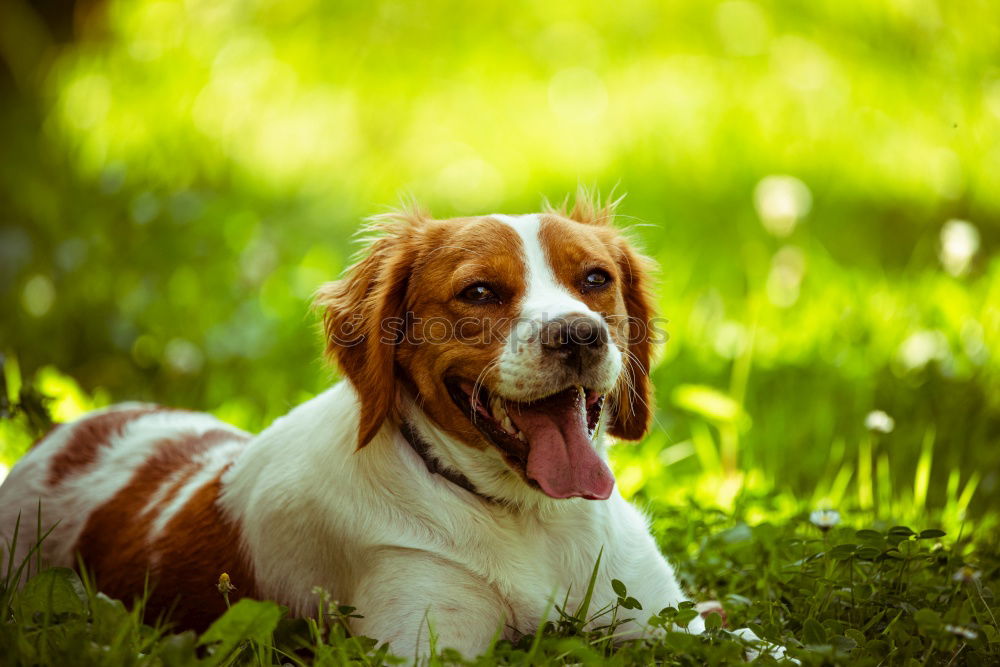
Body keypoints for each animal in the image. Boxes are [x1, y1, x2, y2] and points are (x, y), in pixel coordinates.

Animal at [0, 196, 784, 660]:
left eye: (594, 279)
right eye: (479, 291)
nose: (579, 334)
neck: (527, 516)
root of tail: (63, 435)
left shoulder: (655, 616)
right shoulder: (424, 640)